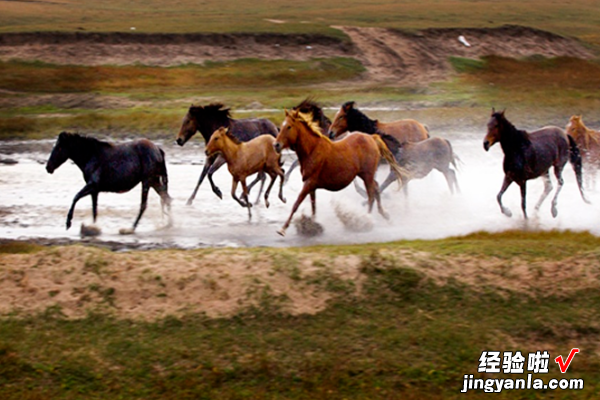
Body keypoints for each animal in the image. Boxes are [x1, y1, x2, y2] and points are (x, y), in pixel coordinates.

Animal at [274, 108, 408, 236]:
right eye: (282, 125)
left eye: (289, 126)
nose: (276, 145)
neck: (312, 150)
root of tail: (371, 138)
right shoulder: (311, 186)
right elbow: (313, 206)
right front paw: (313, 225)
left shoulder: (309, 183)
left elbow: (296, 204)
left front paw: (282, 229)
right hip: (365, 175)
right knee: (376, 188)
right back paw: (384, 215)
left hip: (367, 175)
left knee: (371, 194)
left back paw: (367, 220)